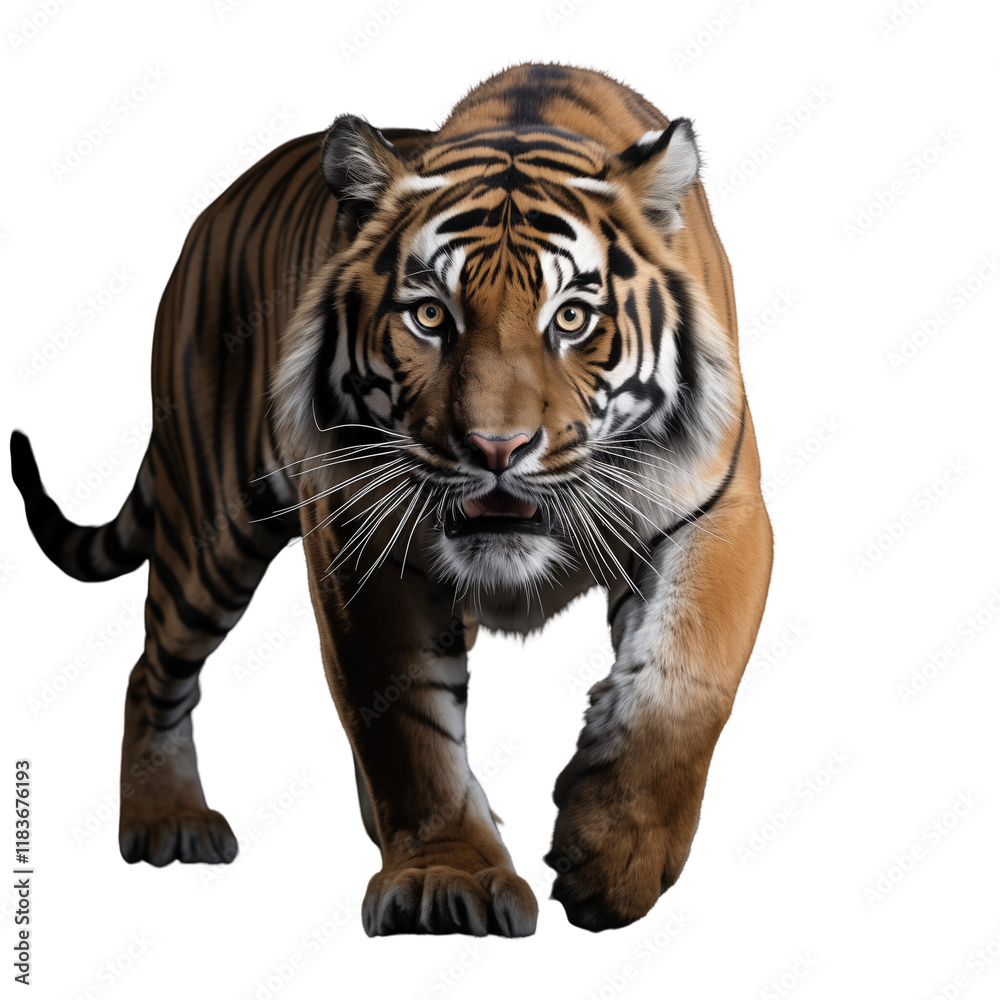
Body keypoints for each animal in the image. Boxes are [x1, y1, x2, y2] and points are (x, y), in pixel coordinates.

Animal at [11, 63, 772, 936]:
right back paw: (167, 820)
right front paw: (447, 877)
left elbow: (684, 680)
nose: (497, 449)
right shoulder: (358, 535)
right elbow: (403, 719)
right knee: (151, 668)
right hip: (211, 526)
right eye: (431, 315)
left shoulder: (721, 511)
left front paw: (614, 860)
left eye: (574, 317)